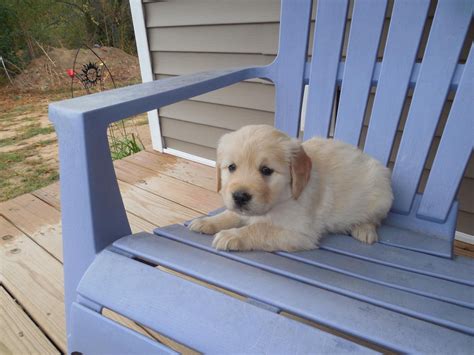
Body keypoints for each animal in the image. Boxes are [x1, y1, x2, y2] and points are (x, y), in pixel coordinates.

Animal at [189, 125, 392, 253]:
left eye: (266, 170)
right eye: (231, 167)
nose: (239, 196)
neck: (284, 196)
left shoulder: (300, 232)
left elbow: (261, 229)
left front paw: (231, 235)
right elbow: (230, 214)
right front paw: (208, 222)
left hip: (381, 193)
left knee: (375, 219)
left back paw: (364, 230)